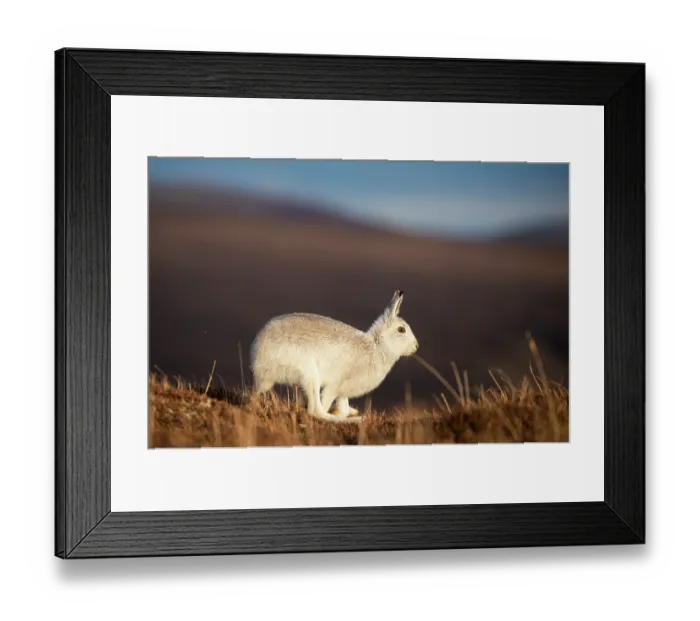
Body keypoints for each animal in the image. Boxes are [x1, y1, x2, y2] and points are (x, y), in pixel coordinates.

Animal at [250, 290, 419, 423]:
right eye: (401, 330)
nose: (416, 346)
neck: (377, 346)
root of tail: (257, 361)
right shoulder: (335, 385)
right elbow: (326, 402)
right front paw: (345, 415)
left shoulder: (343, 392)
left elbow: (343, 405)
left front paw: (348, 411)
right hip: (309, 373)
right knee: (316, 411)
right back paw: (355, 420)